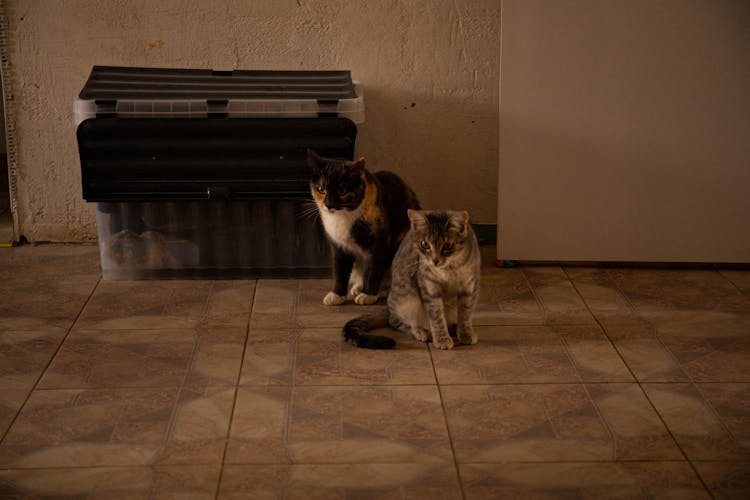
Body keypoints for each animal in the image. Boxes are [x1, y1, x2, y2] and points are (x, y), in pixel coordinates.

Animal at [306, 148, 424, 304]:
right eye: (321, 189)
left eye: (342, 191)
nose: (329, 204)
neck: (343, 216)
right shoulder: (338, 246)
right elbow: (339, 269)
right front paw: (336, 295)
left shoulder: (379, 243)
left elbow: (373, 268)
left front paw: (368, 295)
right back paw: (358, 287)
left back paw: (381, 291)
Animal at [342, 209, 478, 350]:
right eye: (425, 244)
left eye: (448, 245)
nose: (435, 260)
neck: (449, 270)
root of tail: (389, 308)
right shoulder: (429, 287)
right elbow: (436, 316)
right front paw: (442, 339)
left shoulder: (469, 287)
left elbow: (465, 313)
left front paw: (466, 334)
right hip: (408, 301)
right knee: (396, 322)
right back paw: (421, 331)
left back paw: (453, 327)